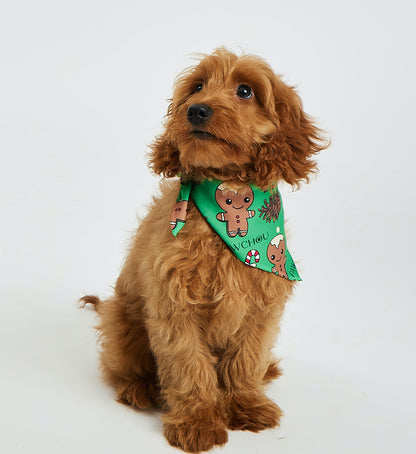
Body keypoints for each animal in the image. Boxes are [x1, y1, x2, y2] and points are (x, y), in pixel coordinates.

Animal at [81, 48, 326, 452]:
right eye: (197, 87)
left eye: (245, 91)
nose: (196, 110)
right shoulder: (175, 308)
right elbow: (189, 366)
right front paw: (197, 421)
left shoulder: (260, 308)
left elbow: (245, 360)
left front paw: (244, 403)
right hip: (124, 322)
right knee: (120, 366)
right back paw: (138, 389)